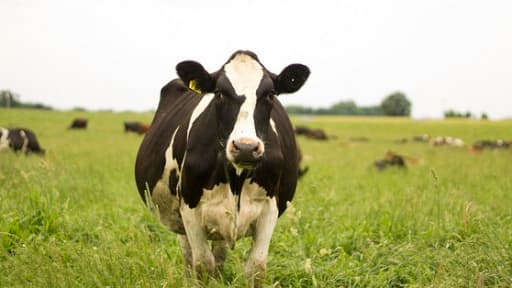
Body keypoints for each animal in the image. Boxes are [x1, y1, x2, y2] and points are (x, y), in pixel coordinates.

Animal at [136, 50, 310, 286]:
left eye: (271, 94)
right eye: (218, 93)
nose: (246, 147)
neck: (236, 177)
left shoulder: (270, 209)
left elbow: (256, 268)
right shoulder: (189, 208)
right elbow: (202, 265)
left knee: (219, 253)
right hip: (179, 218)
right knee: (189, 256)